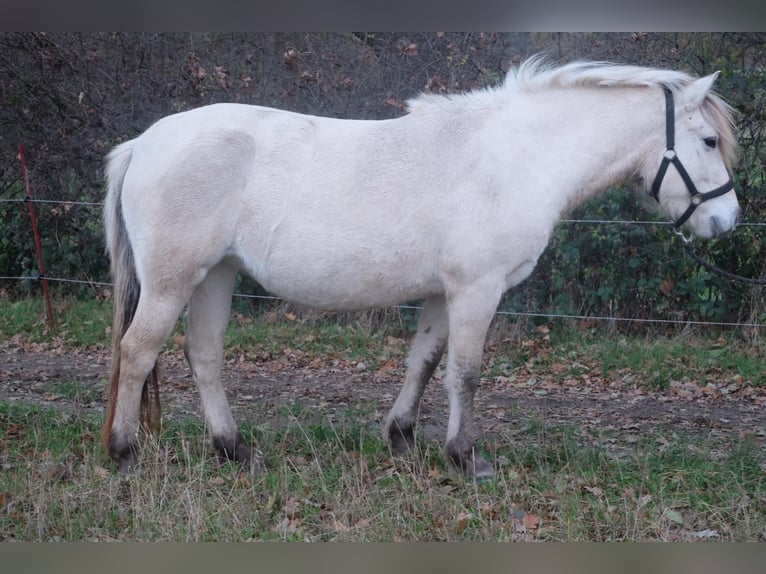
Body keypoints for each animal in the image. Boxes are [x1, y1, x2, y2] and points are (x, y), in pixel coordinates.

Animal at [101, 57, 739, 480]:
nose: (728, 220)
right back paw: (125, 453)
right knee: (138, 351)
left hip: (217, 274)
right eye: (709, 140)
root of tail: (143, 143)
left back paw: (234, 450)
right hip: (174, 279)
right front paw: (465, 458)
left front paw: (402, 438)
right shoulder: (477, 290)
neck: (519, 157)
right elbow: (465, 372)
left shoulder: (443, 293)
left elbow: (425, 363)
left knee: (204, 356)